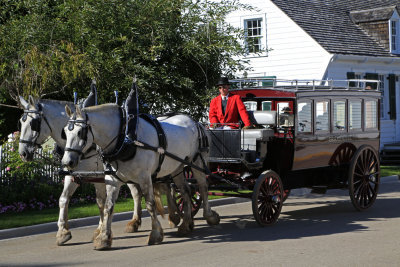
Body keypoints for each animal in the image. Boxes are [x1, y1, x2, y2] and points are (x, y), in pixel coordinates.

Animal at [61, 101, 220, 251]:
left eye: (80, 132)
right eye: (65, 132)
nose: (67, 162)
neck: (125, 138)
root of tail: (194, 121)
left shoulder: (144, 178)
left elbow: (150, 204)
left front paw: (155, 234)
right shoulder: (112, 179)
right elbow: (108, 206)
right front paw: (104, 238)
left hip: (197, 161)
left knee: (203, 187)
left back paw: (208, 216)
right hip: (178, 167)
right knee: (186, 191)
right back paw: (186, 224)